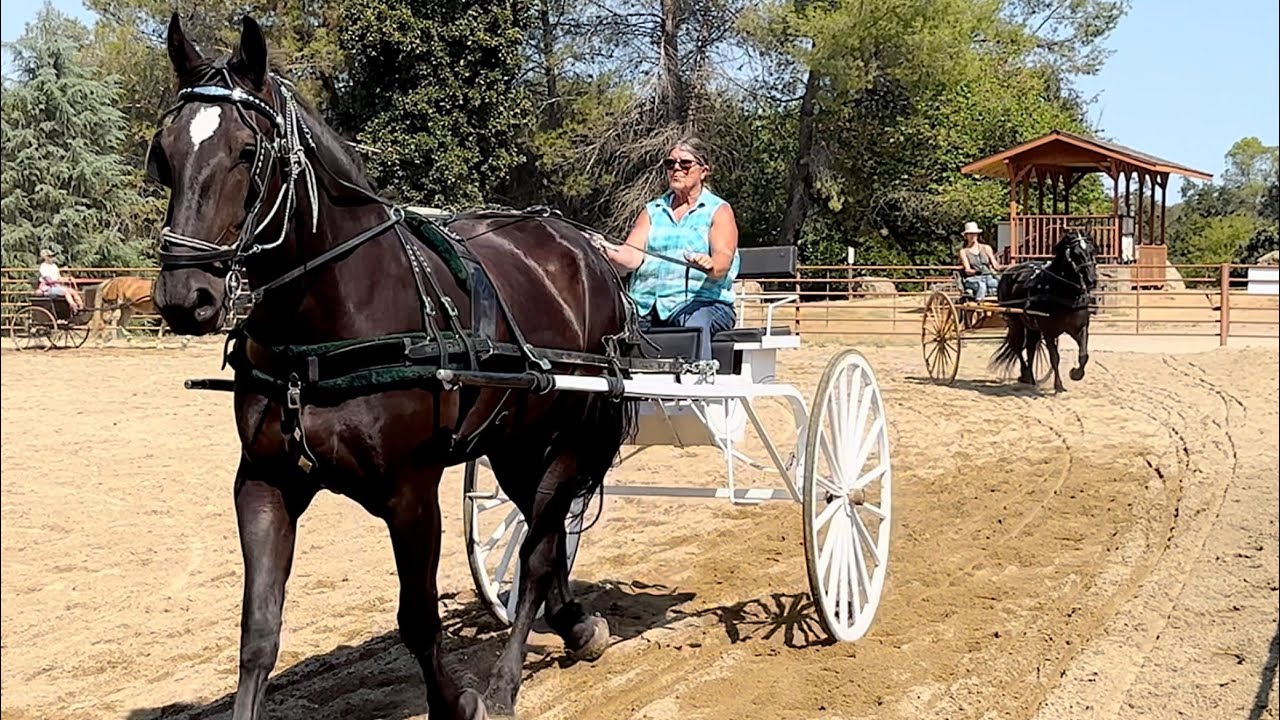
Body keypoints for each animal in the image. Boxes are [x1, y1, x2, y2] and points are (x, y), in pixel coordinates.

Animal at [149, 15, 642, 719]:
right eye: (164, 153)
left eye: (248, 151)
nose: (184, 295)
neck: (320, 337)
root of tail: (586, 250)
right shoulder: (264, 482)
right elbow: (259, 631)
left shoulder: (411, 493)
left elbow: (418, 618)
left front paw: (459, 701)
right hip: (518, 444)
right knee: (543, 545)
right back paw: (575, 625)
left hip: (572, 438)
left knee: (538, 551)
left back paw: (506, 681)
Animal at [989, 228, 1099, 393]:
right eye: (1075, 253)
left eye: (1092, 250)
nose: (1092, 280)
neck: (1062, 291)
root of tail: (1008, 272)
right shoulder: (1049, 333)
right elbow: (1055, 358)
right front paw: (1058, 386)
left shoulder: (1080, 328)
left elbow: (1083, 355)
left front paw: (1075, 374)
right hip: (1015, 321)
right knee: (1017, 346)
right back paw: (1026, 374)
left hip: (1032, 327)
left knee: (1030, 348)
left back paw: (1030, 378)